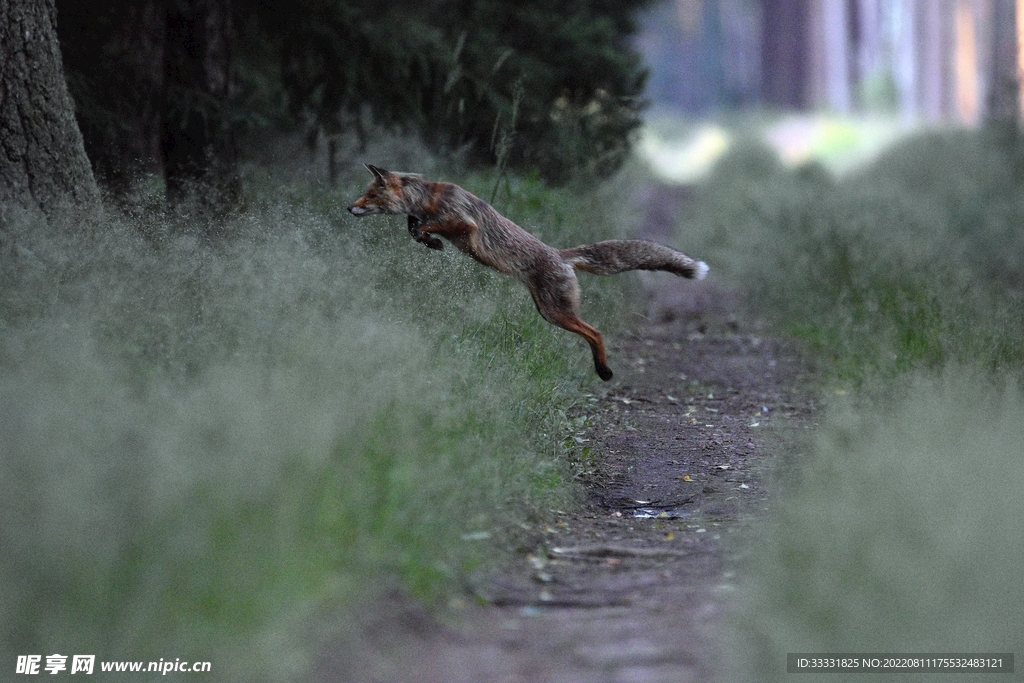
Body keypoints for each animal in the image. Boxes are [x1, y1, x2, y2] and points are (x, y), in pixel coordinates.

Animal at [348, 163, 708, 382]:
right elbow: (413, 227)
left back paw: (604, 370)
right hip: (547, 311)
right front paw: (429, 242)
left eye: (370, 194)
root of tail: (561, 255)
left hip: (555, 311)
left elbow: (426, 225)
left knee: (595, 332)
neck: (428, 198)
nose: (348, 208)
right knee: (591, 331)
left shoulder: (464, 223)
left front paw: (429, 237)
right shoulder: (428, 219)